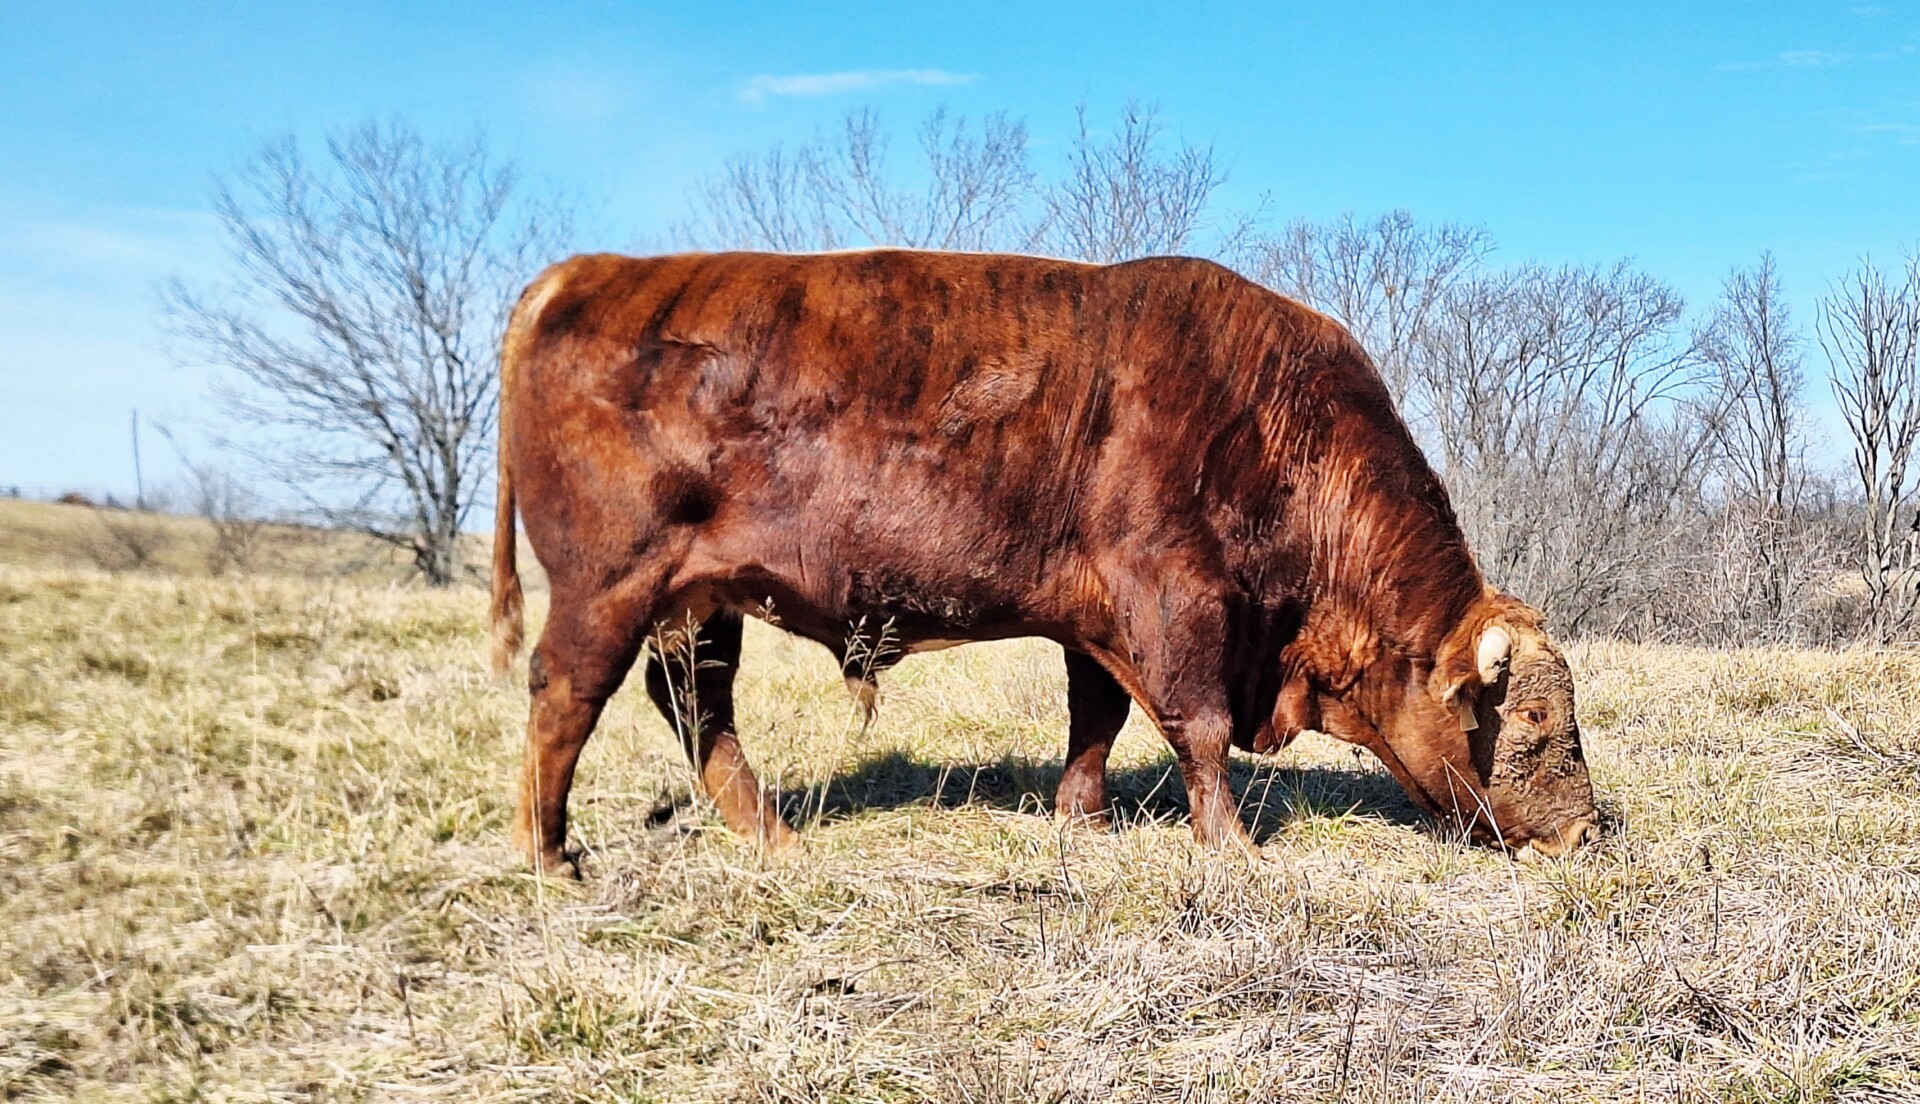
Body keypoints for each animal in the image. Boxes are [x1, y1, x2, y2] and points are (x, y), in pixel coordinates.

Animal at [488, 250, 1598, 876]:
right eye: (1534, 723)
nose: (1586, 834)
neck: (1272, 418)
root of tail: (584, 272)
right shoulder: (1177, 602)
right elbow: (1197, 731)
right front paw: (1232, 847)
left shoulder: (1092, 620)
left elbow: (1096, 719)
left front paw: (1086, 823)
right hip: (611, 586)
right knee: (566, 693)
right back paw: (550, 858)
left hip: (699, 602)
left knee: (694, 707)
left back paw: (772, 839)